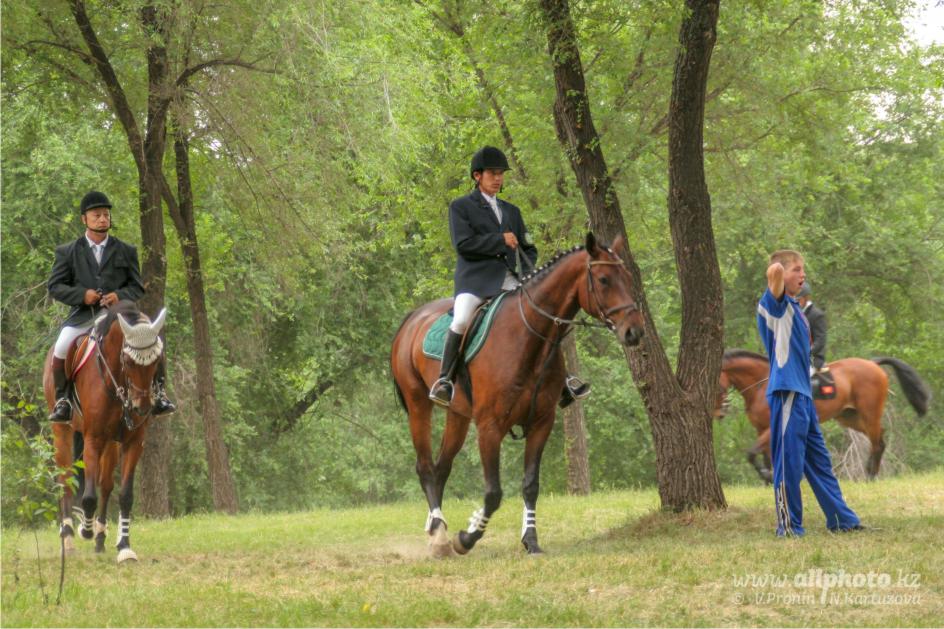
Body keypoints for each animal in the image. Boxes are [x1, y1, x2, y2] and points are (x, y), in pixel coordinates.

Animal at [43, 301, 167, 563]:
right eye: (128, 361)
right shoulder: (93, 439)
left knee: (106, 483)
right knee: (65, 479)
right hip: (62, 431)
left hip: (112, 442)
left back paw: (100, 537)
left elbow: (125, 495)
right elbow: (88, 496)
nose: (142, 408)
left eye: (157, 362)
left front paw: (125, 547)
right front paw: (85, 530)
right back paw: (68, 537)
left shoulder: (133, 442)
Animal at [391, 233, 644, 557]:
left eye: (628, 277)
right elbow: (493, 493)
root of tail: (413, 317)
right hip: (419, 405)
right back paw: (438, 533)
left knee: (441, 467)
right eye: (603, 279)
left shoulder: (541, 422)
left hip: (458, 415)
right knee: (425, 466)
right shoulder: (489, 427)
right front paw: (467, 538)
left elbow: (530, 485)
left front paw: (530, 540)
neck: (529, 338)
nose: (634, 332)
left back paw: (438, 530)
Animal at [715, 349, 930, 482]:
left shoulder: (770, 428)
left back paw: (870, 475)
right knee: (880, 439)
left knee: (878, 442)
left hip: (870, 413)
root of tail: (872, 363)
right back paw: (870, 472)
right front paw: (769, 479)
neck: (761, 385)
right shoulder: (761, 429)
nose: (719, 412)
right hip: (849, 417)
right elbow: (765, 456)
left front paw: (767, 476)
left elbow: (751, 453)